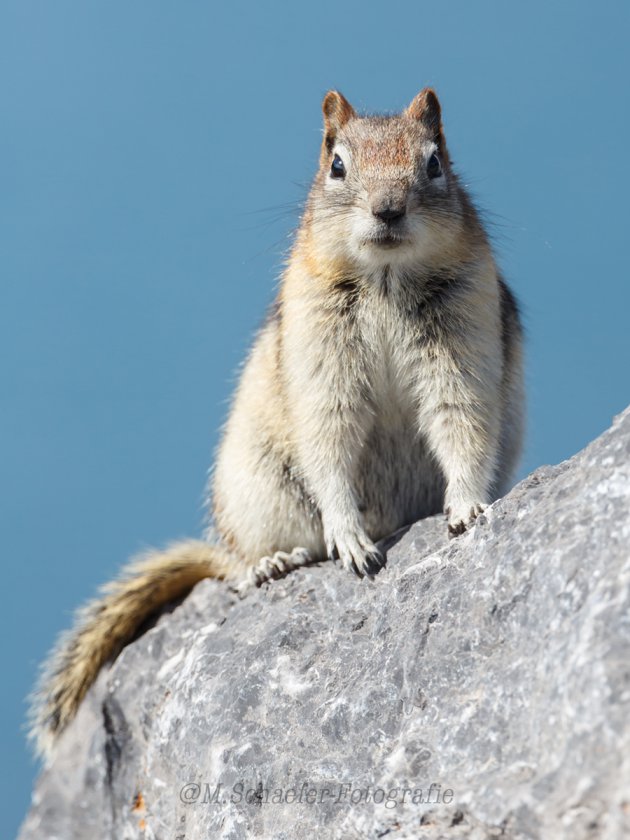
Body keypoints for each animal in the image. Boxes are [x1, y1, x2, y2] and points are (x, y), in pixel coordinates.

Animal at [32, 87, 532, 760]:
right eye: (336, 165)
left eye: (434, 163)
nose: (388, 210)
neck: (386, 276)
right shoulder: (320, 359)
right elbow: (329, 438)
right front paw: (350, 538)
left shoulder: (464, 341)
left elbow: (463, 423)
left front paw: (468, 507)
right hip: (257, 491)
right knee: (239, 567)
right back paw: (270, 564)